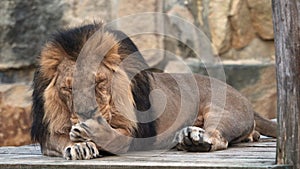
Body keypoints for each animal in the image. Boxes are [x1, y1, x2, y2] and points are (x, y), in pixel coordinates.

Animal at [31, 22, 276, 160]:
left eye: (99, 82)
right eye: (67, 88)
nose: (87, 114)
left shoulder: (137, 133)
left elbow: (117, 139)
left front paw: (92, 133)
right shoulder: (48, 134)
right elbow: (60, 139)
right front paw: (79, 146)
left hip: (222, 111)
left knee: (217, 136)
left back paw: (195, 140)